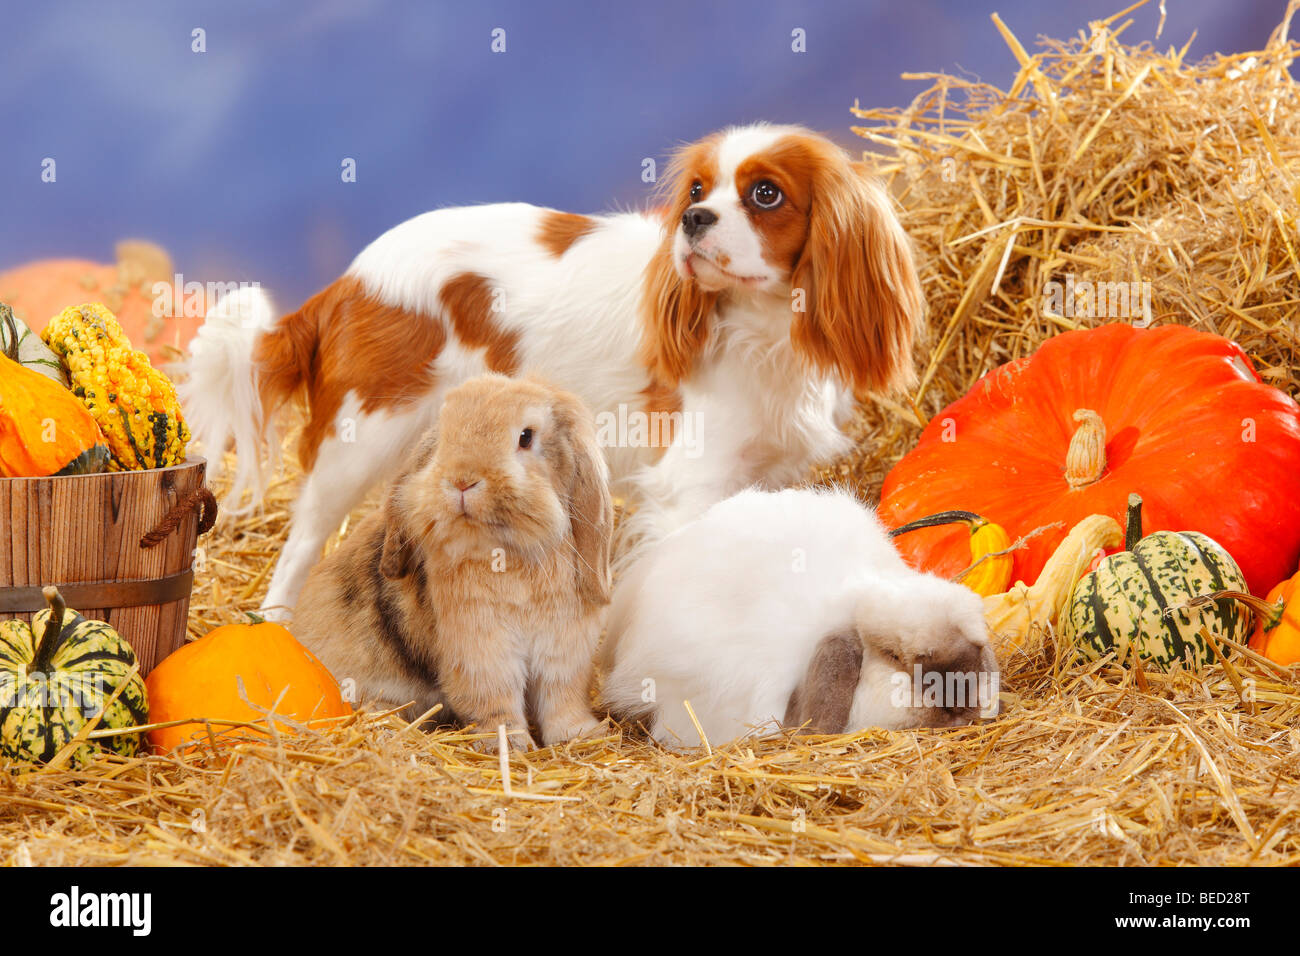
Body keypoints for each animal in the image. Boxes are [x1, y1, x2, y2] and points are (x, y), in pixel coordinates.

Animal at [293, 374, 613, 754]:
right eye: (445, 432)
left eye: (526, 436)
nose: (461, 480)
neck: (506, 554)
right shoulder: (479, 649)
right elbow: (495, 699)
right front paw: (509, 745)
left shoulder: (564, 648)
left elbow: (562, 697)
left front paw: (581, 736)